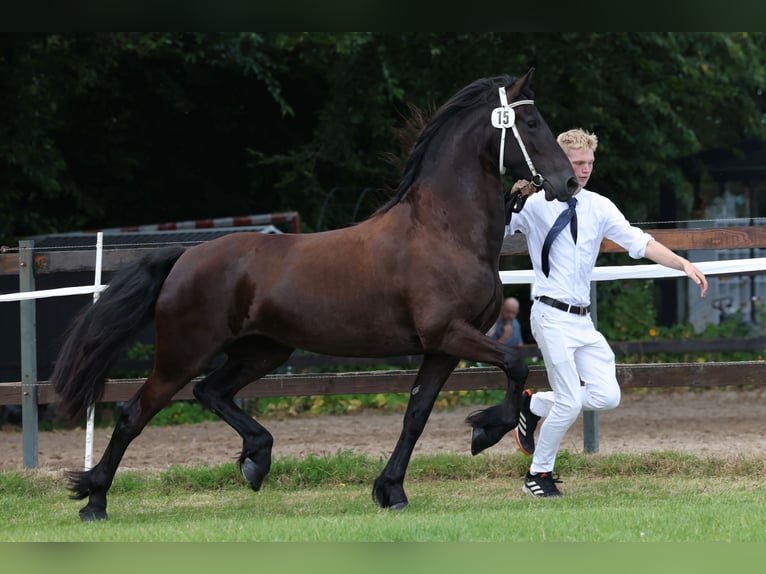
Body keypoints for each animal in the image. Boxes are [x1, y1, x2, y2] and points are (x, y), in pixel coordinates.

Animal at [50, 68, 578, 521]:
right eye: (532, 122)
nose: (569, 182)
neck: (444, 230)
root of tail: (185, 257)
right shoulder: (450, 333)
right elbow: (515, 362)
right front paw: (487, 430)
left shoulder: (442, 348)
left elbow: (416, 415)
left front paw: (391, 491)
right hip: (183, 354)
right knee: (134, 413)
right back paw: (94, 501)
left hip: (264, 350)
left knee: (210, 391)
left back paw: (256, 458)